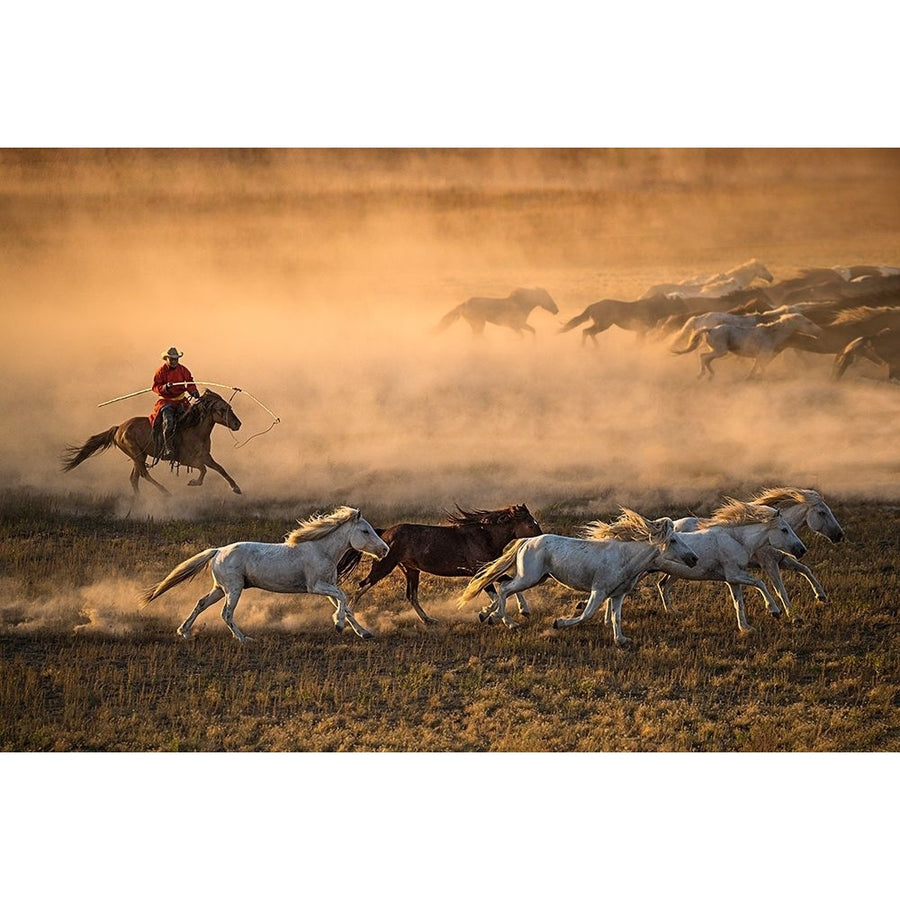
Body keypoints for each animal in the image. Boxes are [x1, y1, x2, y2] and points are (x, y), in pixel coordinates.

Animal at [60, 388, 244, 496]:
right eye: (222, 409)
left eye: (230, 407)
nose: (237, 424)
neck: (194, 430)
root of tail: (119, 428)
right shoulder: (185, 459)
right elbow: (203, 469)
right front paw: (194, 482)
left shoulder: (205, 456)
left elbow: (220, 468)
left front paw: (236, 488)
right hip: (136, 455)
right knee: (143, 474)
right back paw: (164, 492)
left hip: (139, 456)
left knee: (134, 478)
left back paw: (138, 501)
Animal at [142, 506, 388, 640]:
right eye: (365, 531)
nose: (384, 550)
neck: (321, 549)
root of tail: (218, 551)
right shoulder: (316, 586)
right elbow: (344, 599)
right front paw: (338, 625)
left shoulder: (328, 588)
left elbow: (346, 607)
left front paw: (363, 632)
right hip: (233, 589)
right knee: (226, 613)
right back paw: (244, 639)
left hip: (220, 589)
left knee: (201, 603)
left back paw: (183, 631)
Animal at [458, 506, 696, 648]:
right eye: (673, 540)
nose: (694, 558)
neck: (624, 558)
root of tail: (526, 541)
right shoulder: (598, 591)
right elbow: (586, 615)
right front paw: (558, 623)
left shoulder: (617, 595)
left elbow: (616, 617)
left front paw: (621, 640)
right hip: (529, 577)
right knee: (504, 588)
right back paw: (502, 619)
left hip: (537, 577)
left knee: (504, 585)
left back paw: (491, 615)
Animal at [648, 500, 808, 632]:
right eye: (784, 529)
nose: (802, 550)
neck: (737, 541)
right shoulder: (735, 574)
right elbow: (761, 583)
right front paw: (774, 611)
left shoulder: (733, 580)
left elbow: (739, 603)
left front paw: (745, 628)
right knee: (662, 585)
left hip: (675, 573)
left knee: (662, 585)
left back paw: (672, 612)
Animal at [676, 312, 824, 376]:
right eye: (809, 323)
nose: (820, 331)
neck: (771, 334)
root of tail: (710, 329)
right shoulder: (764, 355)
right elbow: (761, 368)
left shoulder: (760, 356)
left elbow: (755, 368)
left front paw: (750, 377)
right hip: (720, 351)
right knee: (703, 357)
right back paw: (702, 375)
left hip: (718, 351)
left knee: (705, 358)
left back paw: (710, 376)